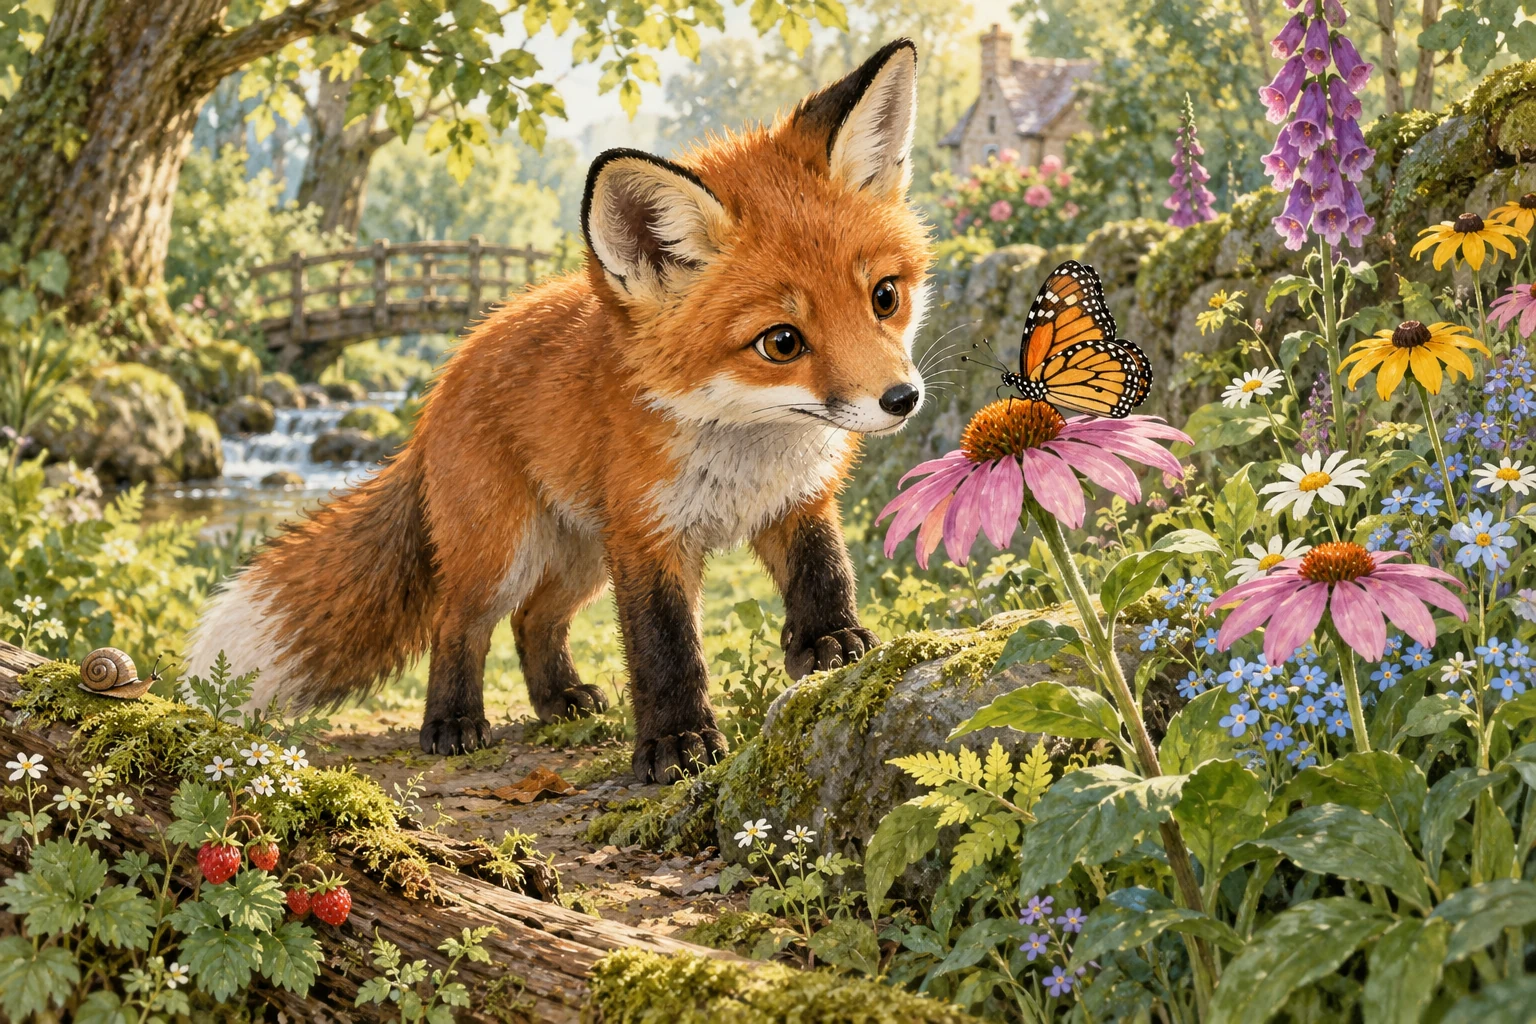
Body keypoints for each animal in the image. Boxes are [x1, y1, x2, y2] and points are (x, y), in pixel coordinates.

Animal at [185, 39, 932, 784]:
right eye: (781, 342)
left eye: (885, 297)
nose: (902, 399)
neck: (750, 447)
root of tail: (443, 384)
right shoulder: (648, 538)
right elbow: (665, 648)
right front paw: (677, 740)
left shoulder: (798, 501)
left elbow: (823, 573)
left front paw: (832, 642)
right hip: (504, 553)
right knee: (459, 622)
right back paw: (452, 721)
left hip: (581, 556)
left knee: (533, 621)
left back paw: (560, 698)